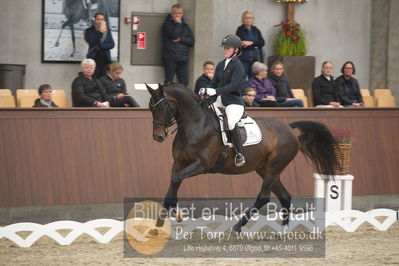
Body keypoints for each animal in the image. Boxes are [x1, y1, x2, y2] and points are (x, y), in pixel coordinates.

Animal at [147, 83, 338, 233]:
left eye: (162, 108)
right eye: (150, 108)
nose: (158, 137)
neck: (195, 125)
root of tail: (289, 128)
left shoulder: (202, 165)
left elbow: (176, 180)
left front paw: (173, 214)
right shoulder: (178, 163)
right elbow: (173, 182)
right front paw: (162, 221)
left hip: (273, 167)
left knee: (264, 196)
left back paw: (238, 226)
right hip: (265, 169)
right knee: (285, 196)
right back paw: (283, 231)